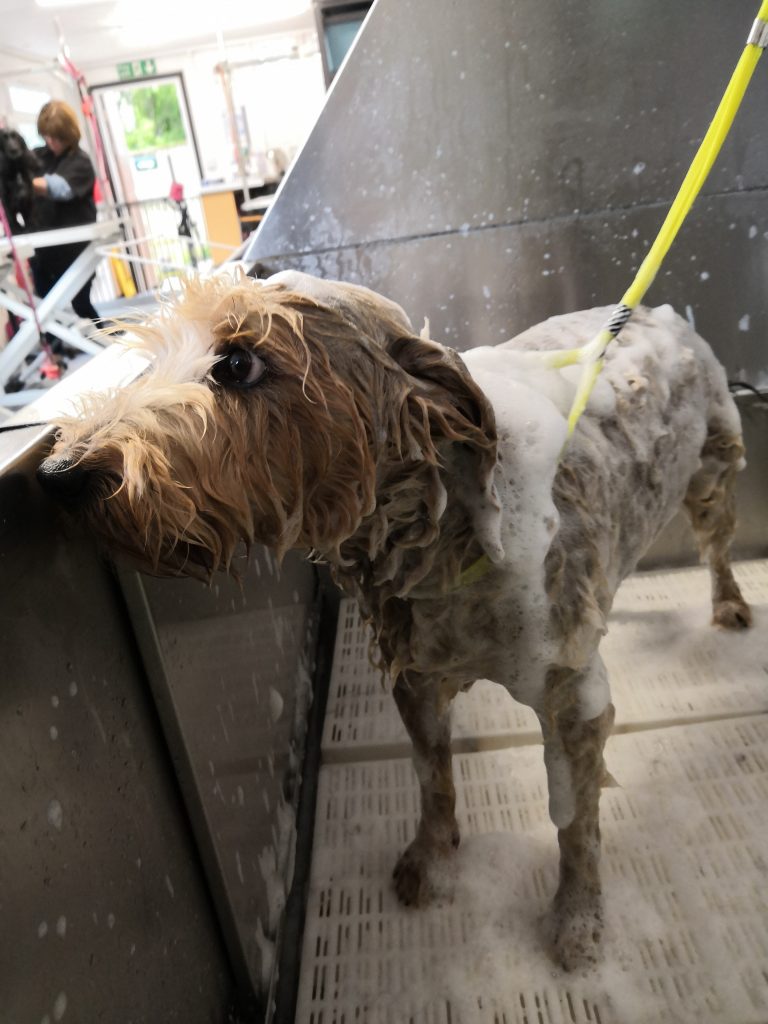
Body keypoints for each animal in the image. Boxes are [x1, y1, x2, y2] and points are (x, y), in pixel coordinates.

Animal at [37, 270, 753, 966]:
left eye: (238, 363)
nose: (61, 473)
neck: (445, 545)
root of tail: (658, 311)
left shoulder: (570, 698)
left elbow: (576, 824)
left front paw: (577, 917)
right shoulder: (416, 677)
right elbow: (432, 779)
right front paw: (430, 861)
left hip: (714, 468)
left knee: (716, 545)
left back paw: (728, 604)